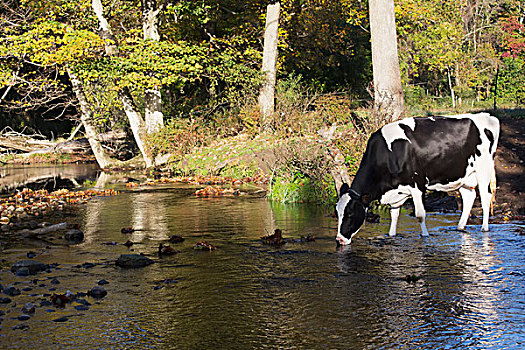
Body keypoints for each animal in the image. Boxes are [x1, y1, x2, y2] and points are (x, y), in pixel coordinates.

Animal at [336, 113, 500, 245]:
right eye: (337, 213)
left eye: (350, 214)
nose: (339, 240)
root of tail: (487, 116)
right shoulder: (397, 191)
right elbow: (394, 215)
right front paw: (392, 235)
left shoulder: (417, 184)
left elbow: (420, 215)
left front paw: (425, 236)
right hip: (465, 175)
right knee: (469, 197)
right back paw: (460, 228)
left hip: (483, 169)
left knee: (485, 197)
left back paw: (484, 228)